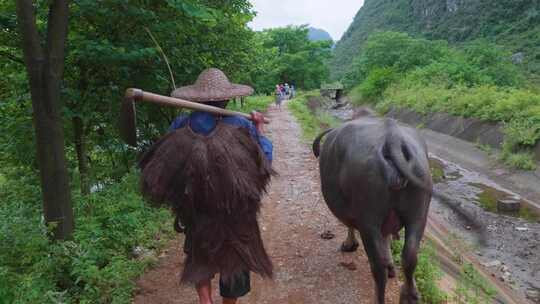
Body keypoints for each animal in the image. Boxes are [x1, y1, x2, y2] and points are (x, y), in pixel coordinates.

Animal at [314, 112, 484, 304]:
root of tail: (392, 138)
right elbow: (387, 238)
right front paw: (391, 266)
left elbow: (351, 225)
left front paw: (349, 244)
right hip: (418, 214)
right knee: (410, 256)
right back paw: (409, 295)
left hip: (369, 220)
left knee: (378, 266)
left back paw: (380, 296)